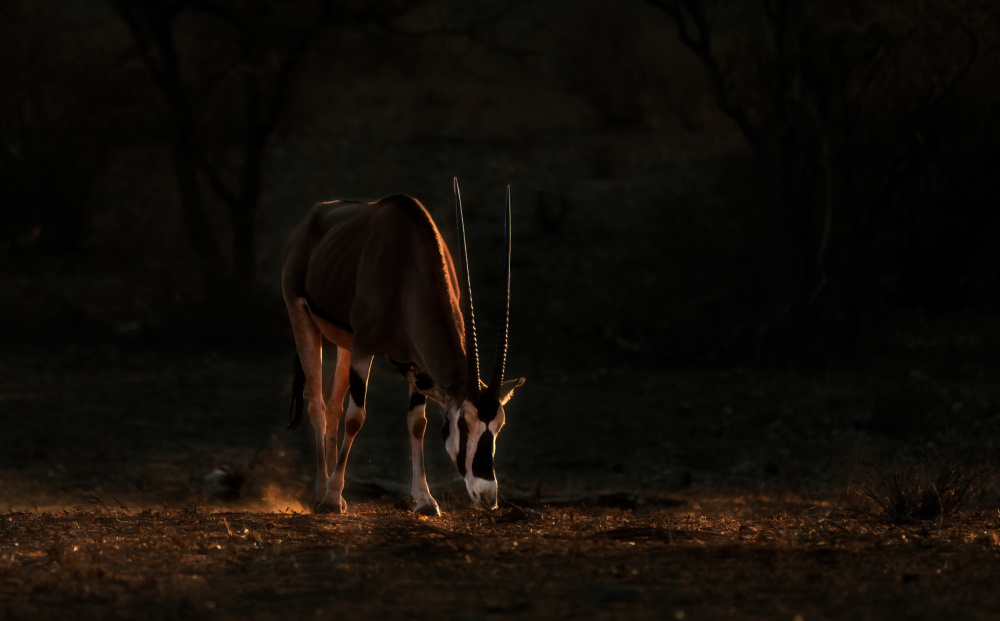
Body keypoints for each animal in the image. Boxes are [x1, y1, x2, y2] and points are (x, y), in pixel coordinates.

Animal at [278, 178, 520, 512]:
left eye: (499, 425)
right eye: (462, 423)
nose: (487, 497)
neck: (407, 265)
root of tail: (311, 218)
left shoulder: (414, 362)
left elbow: (417, 422)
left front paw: (425, 499)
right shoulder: (365, 348)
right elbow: (356, 419)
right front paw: (332, 497)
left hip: (344, 343)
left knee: (333, 406)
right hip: (302, 318)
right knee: (318, 405)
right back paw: (321, 493)